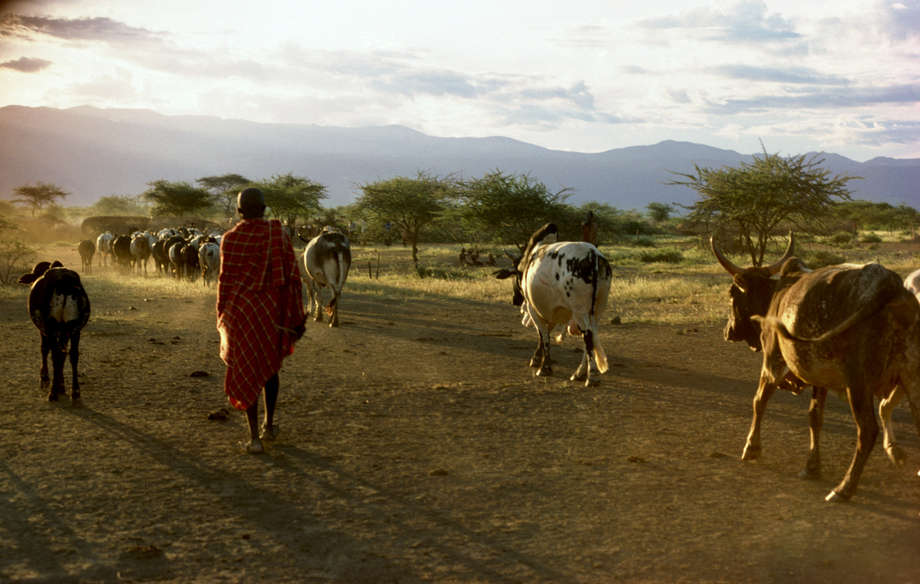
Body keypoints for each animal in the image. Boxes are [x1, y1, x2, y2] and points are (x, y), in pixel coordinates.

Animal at [17, 262, 91, 404]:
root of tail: (64, 280)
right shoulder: (65, 333)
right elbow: (63, 356)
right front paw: (61, 385)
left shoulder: (44, 331)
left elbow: (45, 350)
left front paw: (45, 378)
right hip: (75, 329)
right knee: (72, 355)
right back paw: (75, 392)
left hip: (51, 328)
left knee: (55, 354)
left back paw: (53, 393)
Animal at [492, 224, 616, 388]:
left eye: (516, 274)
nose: (515, 299)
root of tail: (593, 255)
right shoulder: (550, 311)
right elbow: (545, 334)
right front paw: (537, 359)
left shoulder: (534, 309)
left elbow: (543, 336)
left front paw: (544, 367)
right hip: (597, 310)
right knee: (592, 336)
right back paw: (579, 373)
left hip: (580, 310)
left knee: (588, 336)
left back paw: (591, 377)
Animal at [716, 233, 920, 502]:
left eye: (732, 294)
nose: (727, 331)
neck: (776, 295)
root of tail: (890, 285)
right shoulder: (818, 379)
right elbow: (815, 416)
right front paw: (812, 466)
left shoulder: (772, 364)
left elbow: (758, 402)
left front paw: (751, 448)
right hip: (912, 378)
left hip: (859, 383)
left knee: (867, 431)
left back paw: (844, 488)